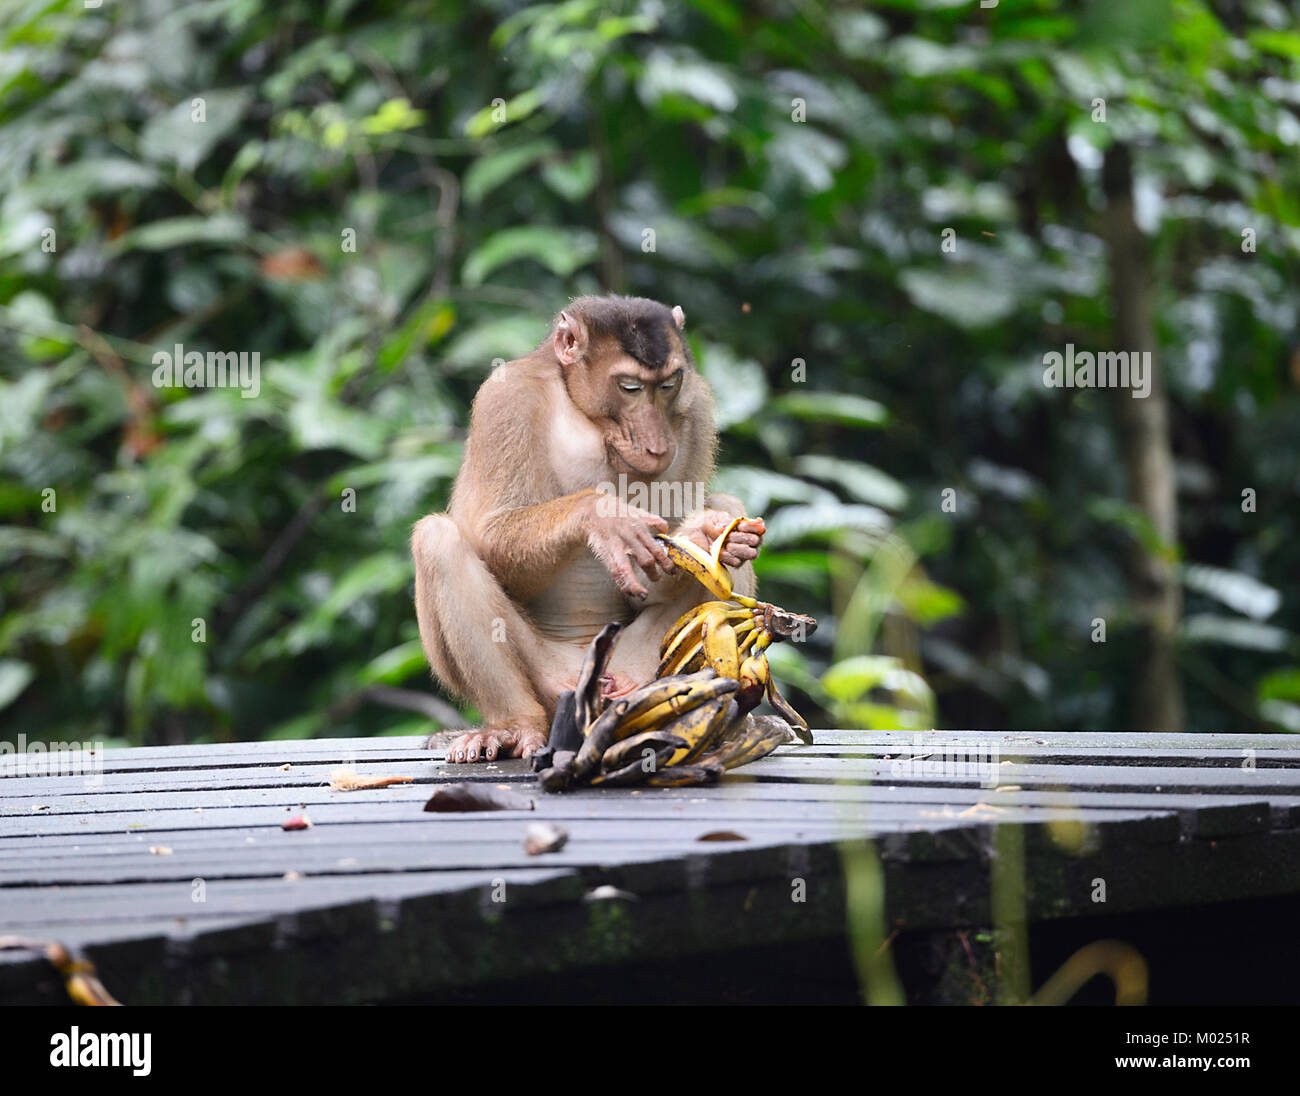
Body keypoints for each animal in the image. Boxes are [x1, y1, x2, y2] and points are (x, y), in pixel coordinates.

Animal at [410, 295, 764, 769]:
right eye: (630, 387)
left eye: (667, 385)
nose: (657, 444)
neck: (586, 416)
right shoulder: (506, 397)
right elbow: (488, 530)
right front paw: (602, 515)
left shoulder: (696, 408)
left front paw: (706, 538)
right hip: (550, 679)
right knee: (438, 539)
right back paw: (511, 726)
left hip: (642, 668)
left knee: (728, 506)